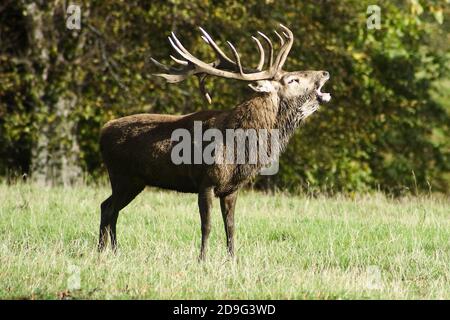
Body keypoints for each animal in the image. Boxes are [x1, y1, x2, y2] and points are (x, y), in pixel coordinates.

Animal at [98, 25, 330, 260]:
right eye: (292, 80)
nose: (324, 73)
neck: (240, 148)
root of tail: (103, 131)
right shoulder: (206, 181)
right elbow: (207, 225)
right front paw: (202, 259)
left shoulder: (232, 188)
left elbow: (231, 226)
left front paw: (232, 258)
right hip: (121, 176)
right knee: (109, 209)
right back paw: (104, 251)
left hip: (135, 181)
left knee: (107, 207)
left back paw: (110, 250)